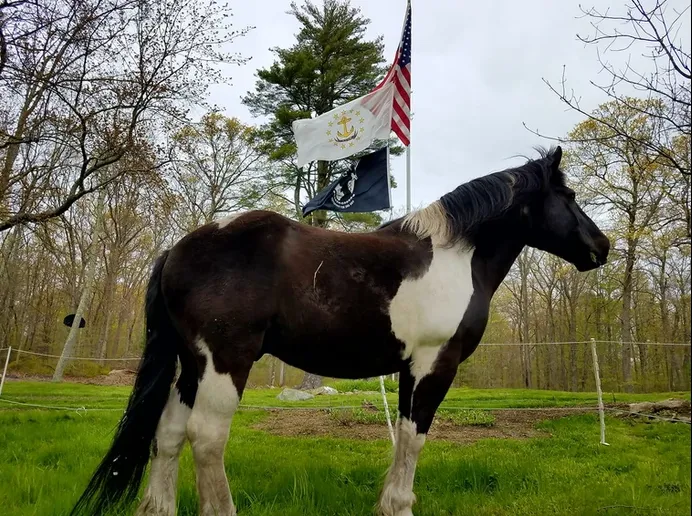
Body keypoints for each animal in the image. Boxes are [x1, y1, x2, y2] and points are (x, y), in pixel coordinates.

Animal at [69, 146, 610, 516]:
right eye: (568, 196)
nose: (601, 247)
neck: (455, 256)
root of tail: (179, 248)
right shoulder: (435, 363)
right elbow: (414, 437)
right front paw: (399, 506)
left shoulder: (411, 368)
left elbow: (403, 436)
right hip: (225, 360)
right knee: (206, 437)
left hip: (192, 364)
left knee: (169, 433)